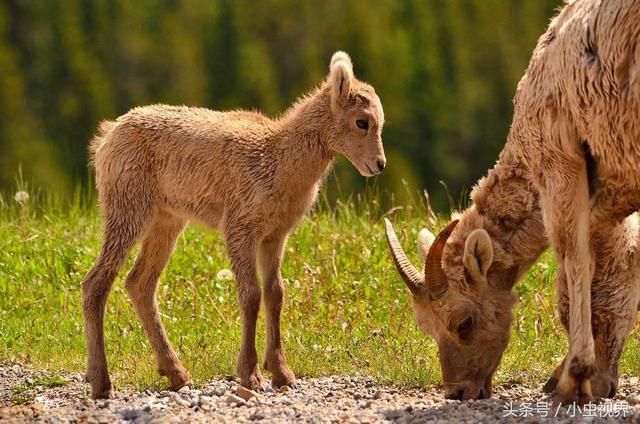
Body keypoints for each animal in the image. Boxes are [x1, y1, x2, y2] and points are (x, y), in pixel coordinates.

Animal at [83, 51, 388, 400]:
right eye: (362, 121)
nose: (379, 165)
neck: (278, 161)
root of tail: (105, 139)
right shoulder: (239, 229)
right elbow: (251, 294)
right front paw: (251, 375)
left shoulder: (275, 236)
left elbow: (275, 293)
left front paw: (282, 374)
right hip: (127, 210)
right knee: (96, 283)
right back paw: (102, 383)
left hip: (167, 221)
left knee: (139, 283)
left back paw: (177, 374)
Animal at [384, 0, 640, 402]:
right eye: (425, 327)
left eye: (464, 322)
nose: (458, 392)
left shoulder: (558, 163)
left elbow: (573, 266)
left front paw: (571, 381)